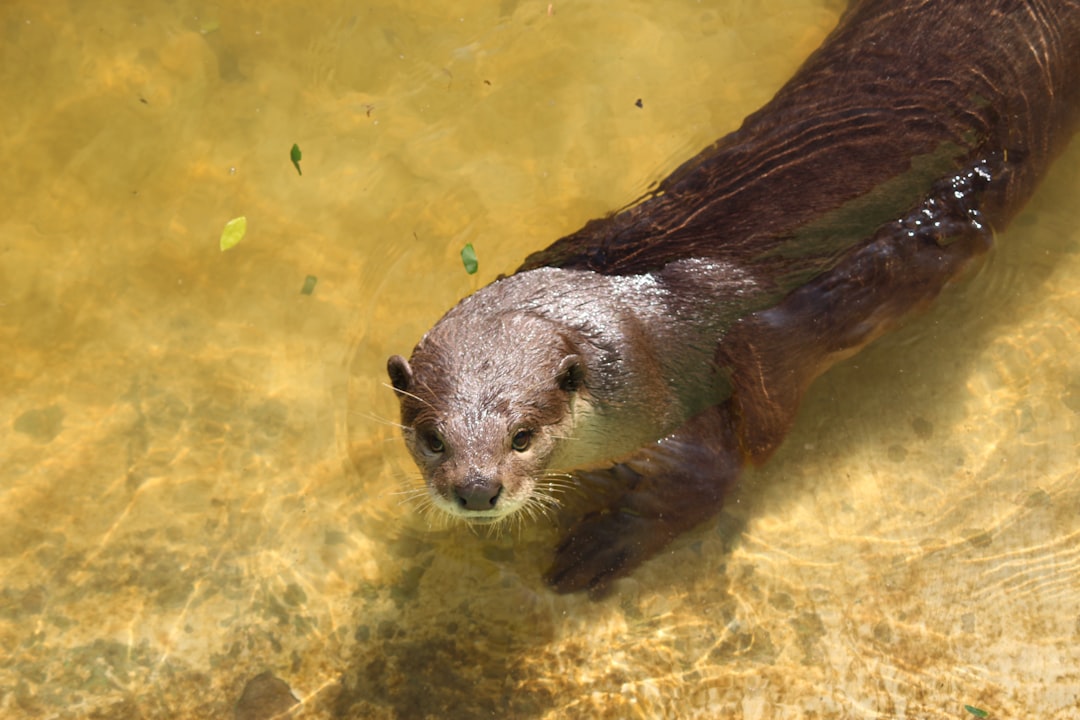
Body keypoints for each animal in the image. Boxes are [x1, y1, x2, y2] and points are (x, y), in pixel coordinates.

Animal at [388, 0, 1080, 594]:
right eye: (432, 438)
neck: (632, 331)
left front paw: (605, 543)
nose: (477, 490)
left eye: (523, 436)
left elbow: (706, 487)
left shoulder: (684, 426)